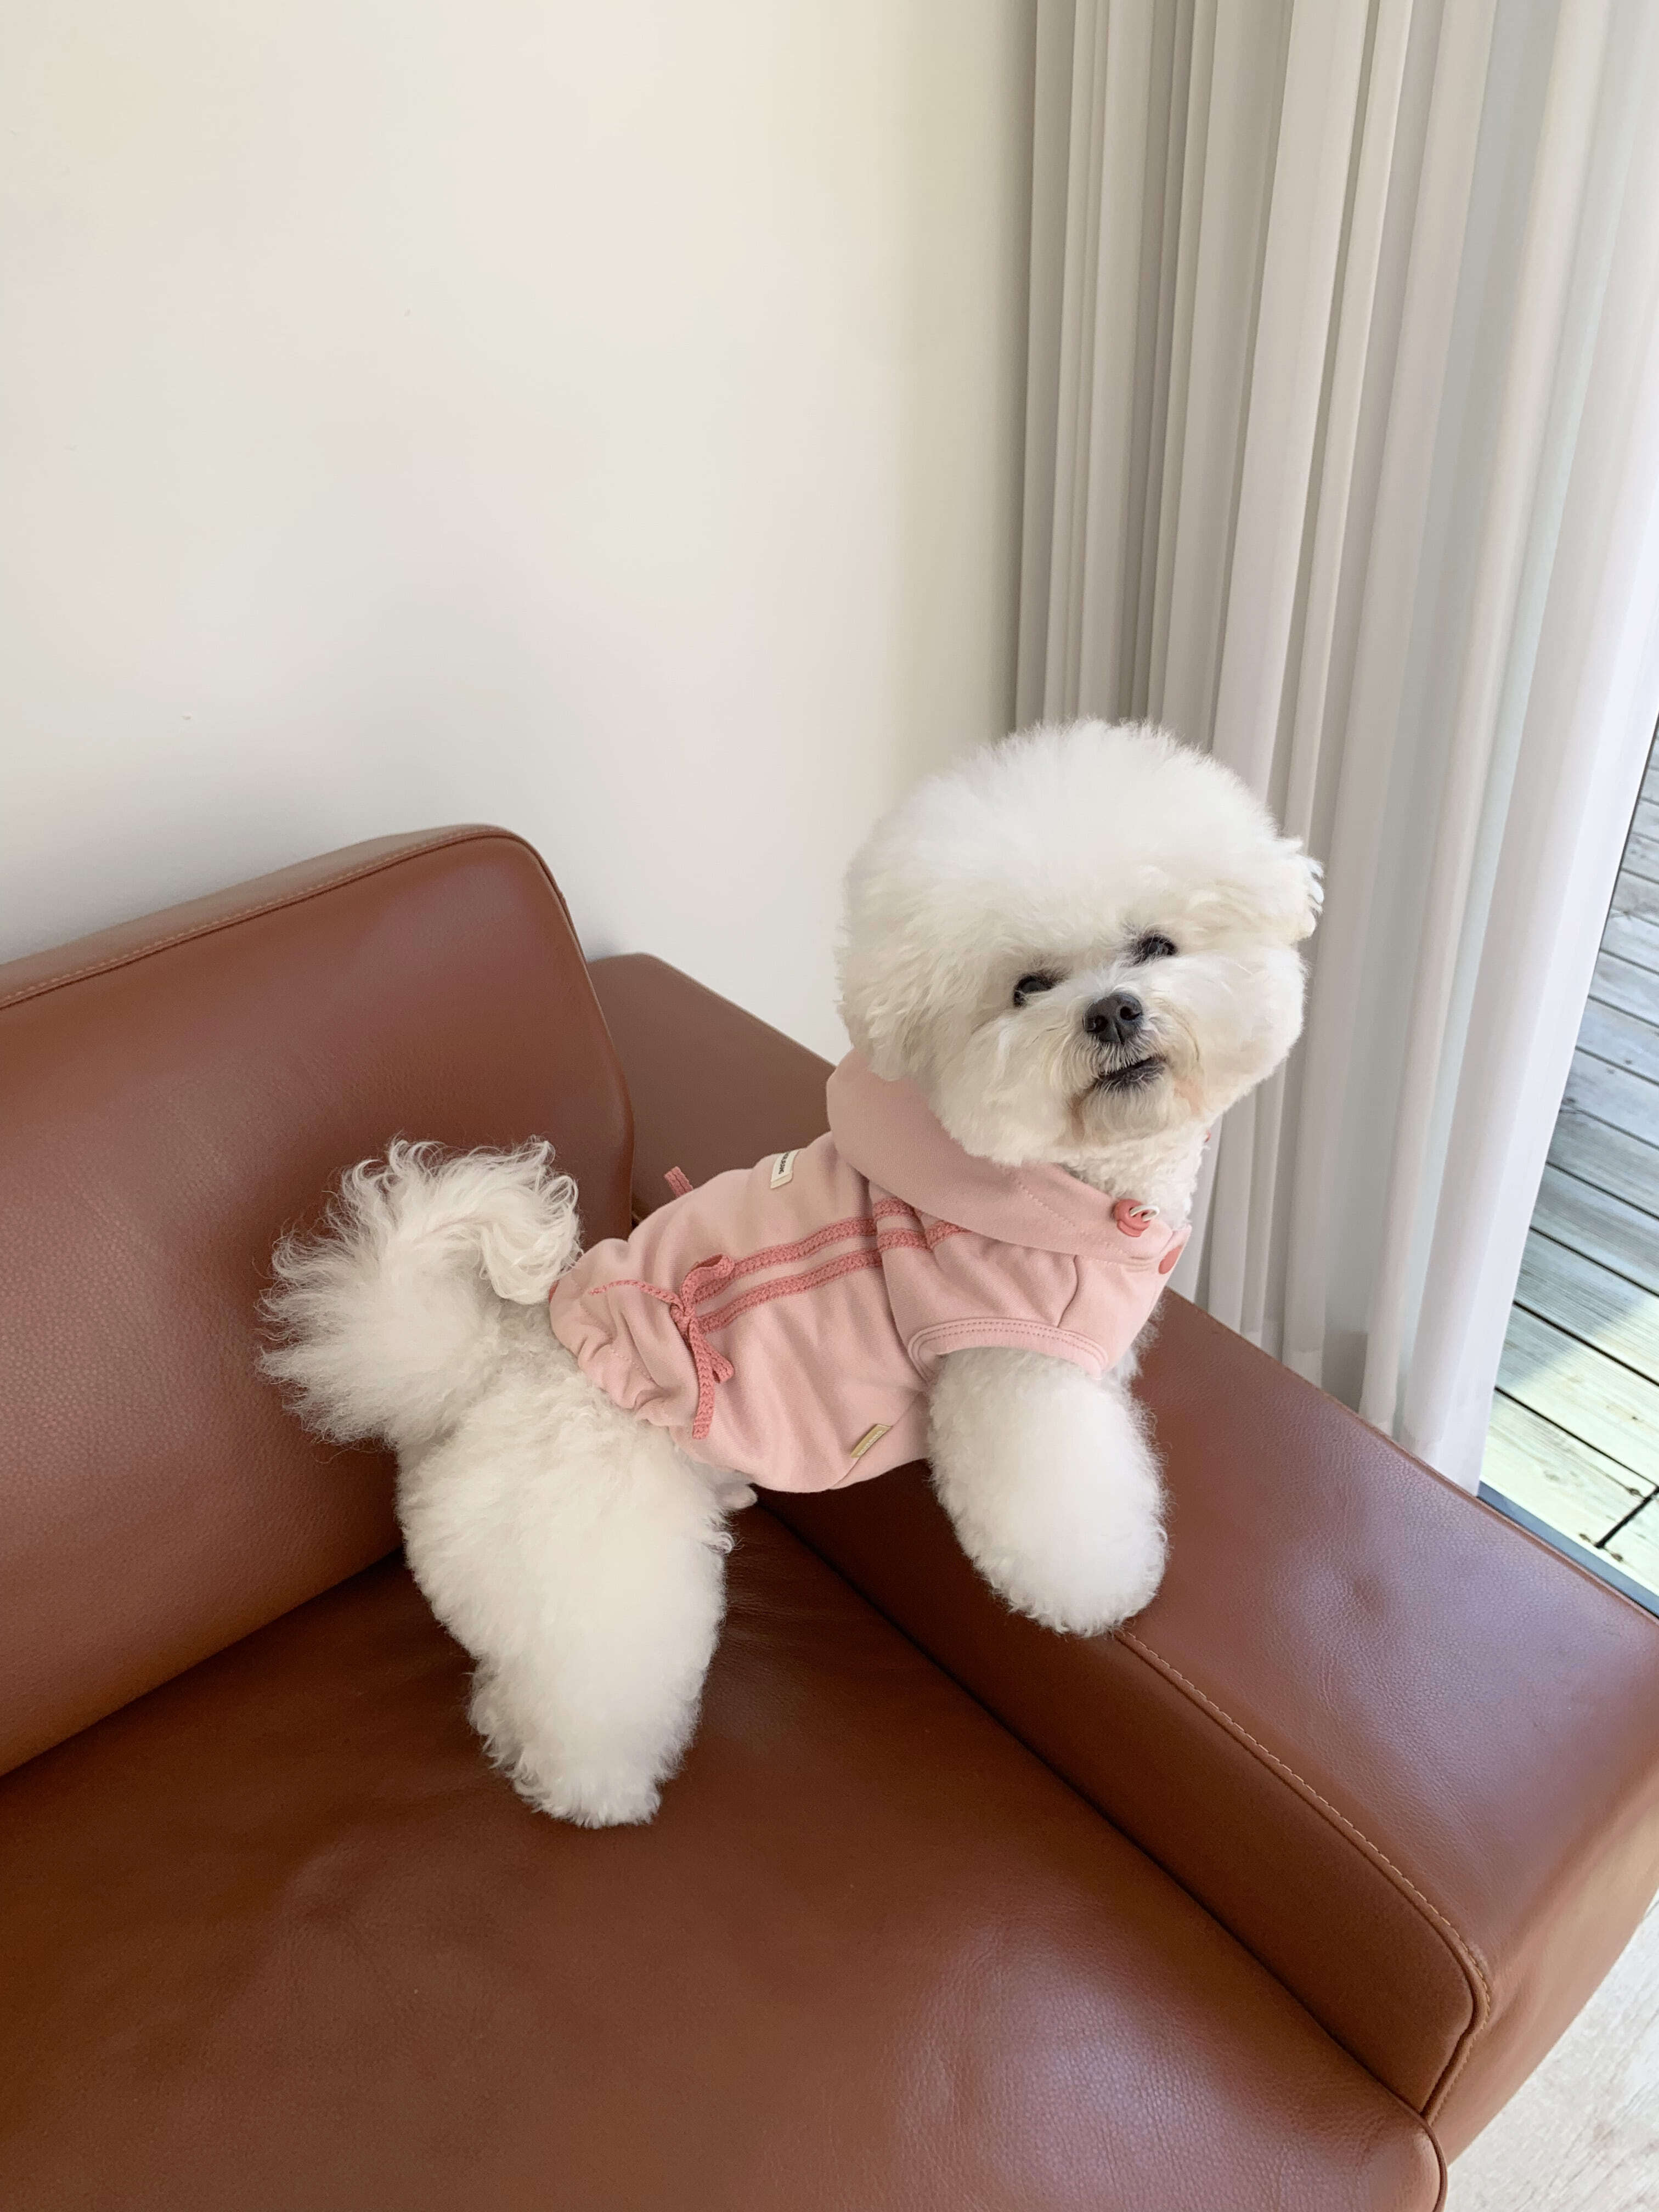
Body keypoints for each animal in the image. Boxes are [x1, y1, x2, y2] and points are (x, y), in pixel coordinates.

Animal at [264, 721, 1320, 1826]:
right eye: (1027, 987)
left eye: (1156, 946)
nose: (1112, 1012)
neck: (1060, 1184)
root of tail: (490, 1365)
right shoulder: (1007, 1366)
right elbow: (1058, 1499)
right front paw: (1103, 1588)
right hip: (593, 1563)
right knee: (579, 1691)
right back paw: (593, 1791)